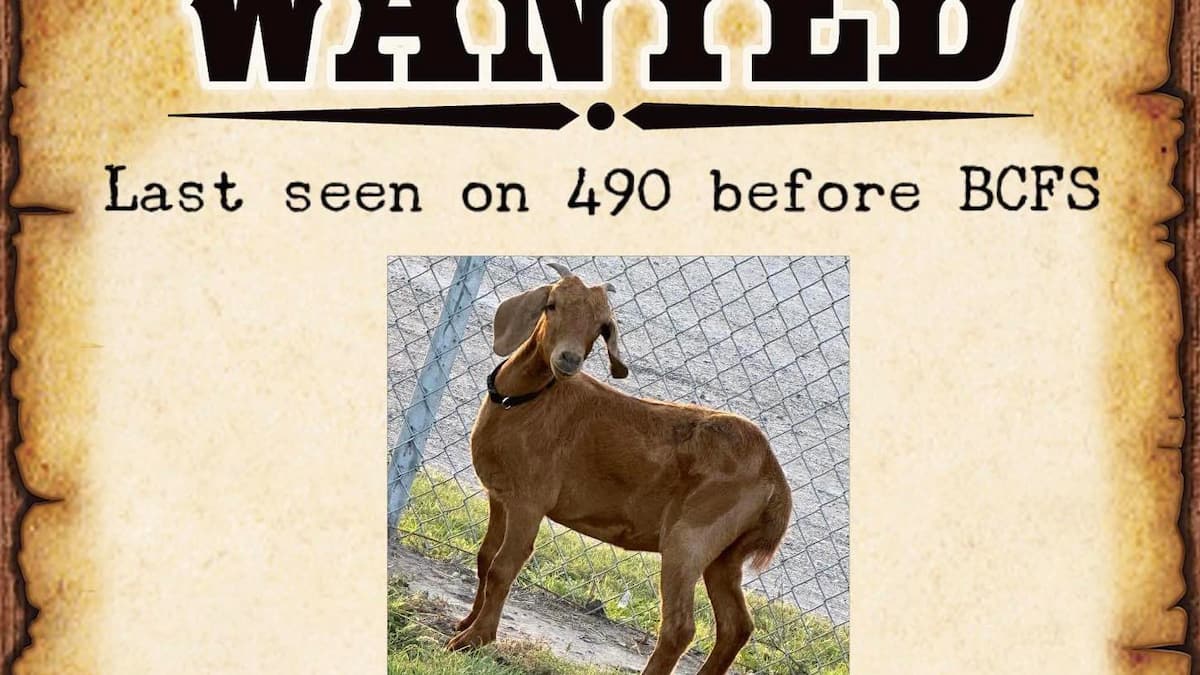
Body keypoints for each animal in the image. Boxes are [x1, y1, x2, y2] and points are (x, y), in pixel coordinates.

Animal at [447, 263, 793, 675]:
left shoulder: (529, 502)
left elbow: (503, 567)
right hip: (725, 555)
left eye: (602, 326)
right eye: (551, 304)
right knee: (736, 625)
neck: (528, 401)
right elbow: (485, 558)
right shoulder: (500, 497)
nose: (569, 360)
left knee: (681, 626)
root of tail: (774, 477)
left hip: (690, 538)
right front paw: (465, 623)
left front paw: (472, 640)